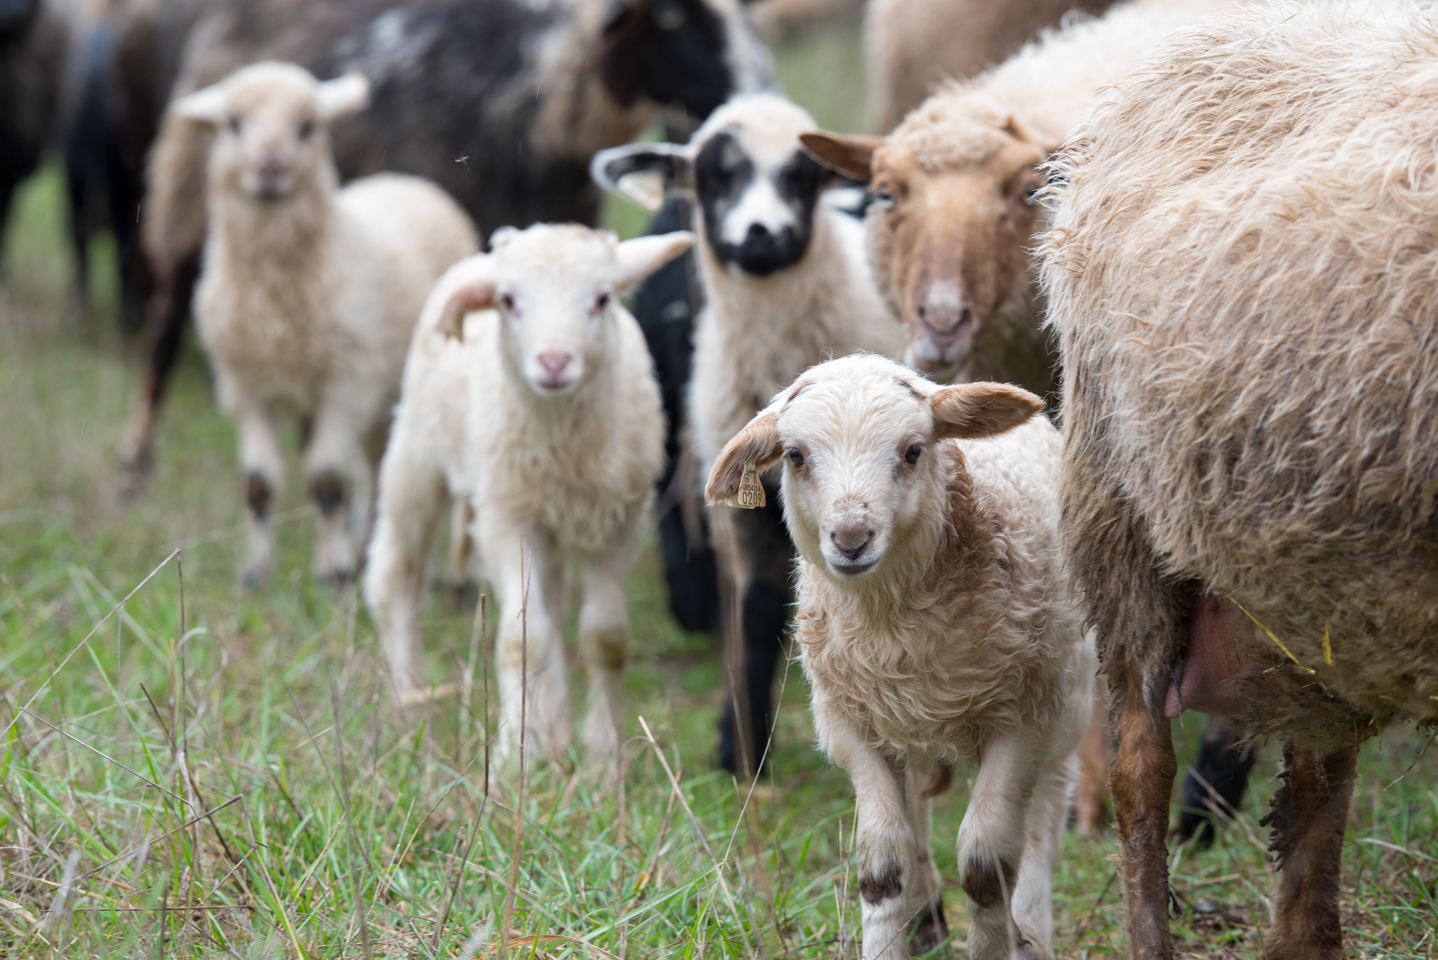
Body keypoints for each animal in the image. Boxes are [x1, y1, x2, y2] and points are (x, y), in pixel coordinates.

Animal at [173, 61, 477, 586]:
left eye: (307, 126)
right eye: (233, 122)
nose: (270, 168)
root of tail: (410, 182)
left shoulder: (344, 380)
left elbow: (326, 479)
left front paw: (331, 570)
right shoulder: (246, 386)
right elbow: (258, 483)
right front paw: (257, 571)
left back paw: (457, 578)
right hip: (379, 398)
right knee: (374, 469)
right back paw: (363, 547)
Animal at [365, 221, 690, 770]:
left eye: (602, 299)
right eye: (508, 301)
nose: (554, 362)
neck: (561, 442)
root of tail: (484, 254)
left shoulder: (618, 523)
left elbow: (605, 639)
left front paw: (604, 756)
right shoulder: (506, 518)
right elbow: (522, 641)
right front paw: (515, 759)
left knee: (553, 606)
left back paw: (554, 728)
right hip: (416, 455)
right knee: (396, 579)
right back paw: (410, 712)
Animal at [704, 354, 1087, 960]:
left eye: (912, 451)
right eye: (795, 455)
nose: (851, 537)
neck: (894, 626)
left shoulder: (1025, 722)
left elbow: (984, 866)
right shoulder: (853, 726)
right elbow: (882, 864)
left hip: (1067, 702)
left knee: (1044, 816)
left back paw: (1032, 928)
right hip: (907, 723)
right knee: (920, 810)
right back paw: (927, 915)